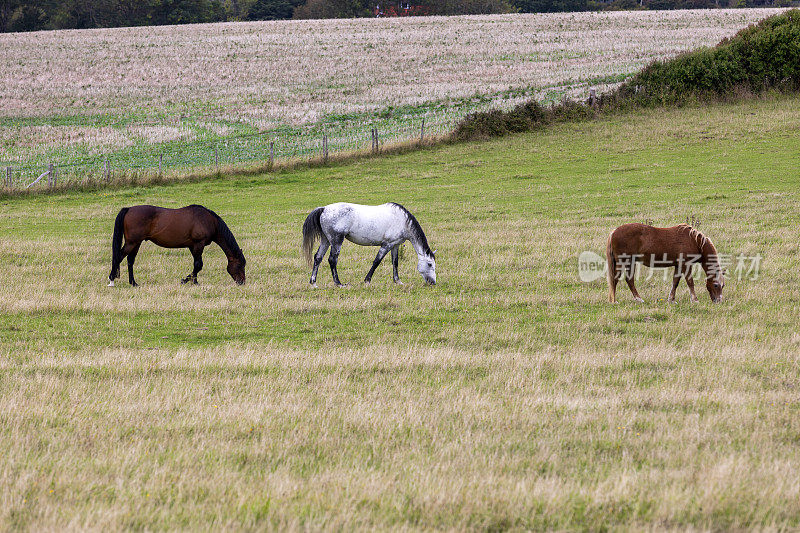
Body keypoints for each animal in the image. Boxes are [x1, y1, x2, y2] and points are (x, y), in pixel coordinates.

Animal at [108, 205, 247, 286]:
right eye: (240, 265)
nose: (242, 282)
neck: (209, 221)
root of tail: (129, 209)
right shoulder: (199, 244)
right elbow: (199, 265)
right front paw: (186, 280)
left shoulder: (192, 246)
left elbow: (196, 264)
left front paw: (194, 281)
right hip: (132, 243)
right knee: (118, 257)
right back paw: (111, 280)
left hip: (136, 243)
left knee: (130, 260)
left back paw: (133, 283)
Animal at [302, 203, 438, 286]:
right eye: (430, 264)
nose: (433, 282)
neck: (402, 221)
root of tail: (324, 209)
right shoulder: (386, 245)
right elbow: (377, 261)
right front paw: (367, 280)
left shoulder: (395, 245)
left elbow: (395, 262)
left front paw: (397, 281)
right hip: (336, 241)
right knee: (332, 260)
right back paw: (338, 283)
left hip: (325, 240)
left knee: (318, 258)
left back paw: (313, 282)